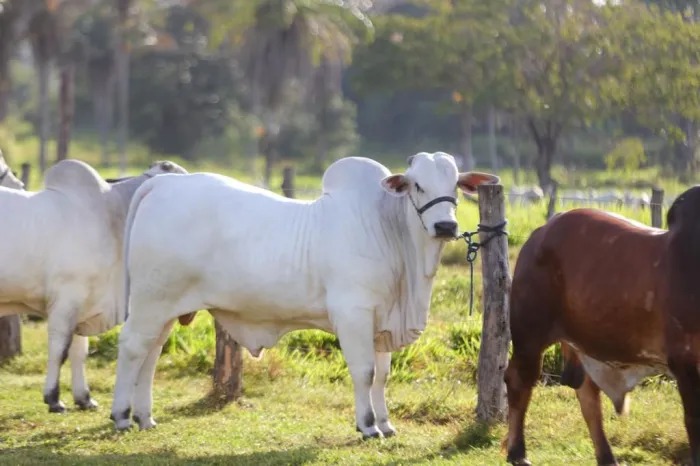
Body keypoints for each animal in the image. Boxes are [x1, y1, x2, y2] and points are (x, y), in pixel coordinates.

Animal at [0, 159, 187, 412]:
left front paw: (84, 398)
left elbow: (80, 352)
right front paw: (53, 398)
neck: (111, 216)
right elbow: (59, 350)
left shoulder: (84, 304)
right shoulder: (66, 300)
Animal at [110, 151, 498, 436]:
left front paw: (387, 424)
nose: (445, 225)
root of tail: (163, 184)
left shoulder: (382, 322)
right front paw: (368, 426)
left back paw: (145, 416)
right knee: (132, 348)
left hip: (165, 308)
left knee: (151, 353)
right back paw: (122, 416)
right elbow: (364, 371)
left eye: (455, 184)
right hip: (150, 301)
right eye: (417, 185)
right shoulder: (354, 314)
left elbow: (382, 375)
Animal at [506, 187, 700, 464]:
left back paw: (607, 456)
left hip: (584, 341)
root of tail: (540, 233)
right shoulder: (686, 362)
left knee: (587, 394)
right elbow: (694, 422)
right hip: (529, 336)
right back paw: (517, 452)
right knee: (519, 381)